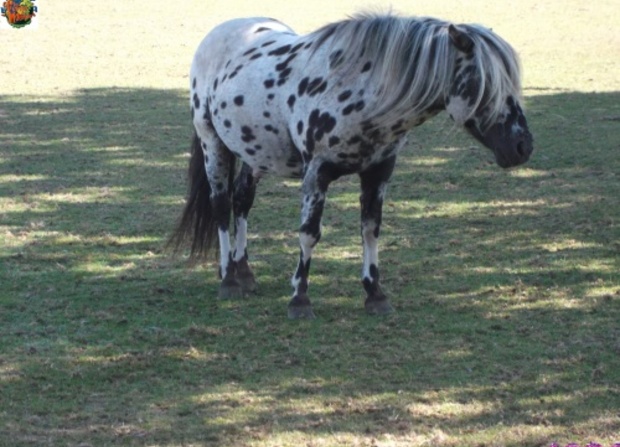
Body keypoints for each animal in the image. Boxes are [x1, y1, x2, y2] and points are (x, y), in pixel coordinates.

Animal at [170, 13, 532, 318]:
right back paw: (228, 279)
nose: (523, 147)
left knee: (242, 203)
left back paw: (244, 271)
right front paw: (300, 299)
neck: (358, 90)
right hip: (213, 144)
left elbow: (370, 230)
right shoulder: (317, 175)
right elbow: (309, 234)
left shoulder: (378, 173)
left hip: (253, 154)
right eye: (485, 82)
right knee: (221, 206)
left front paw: (375, 294)